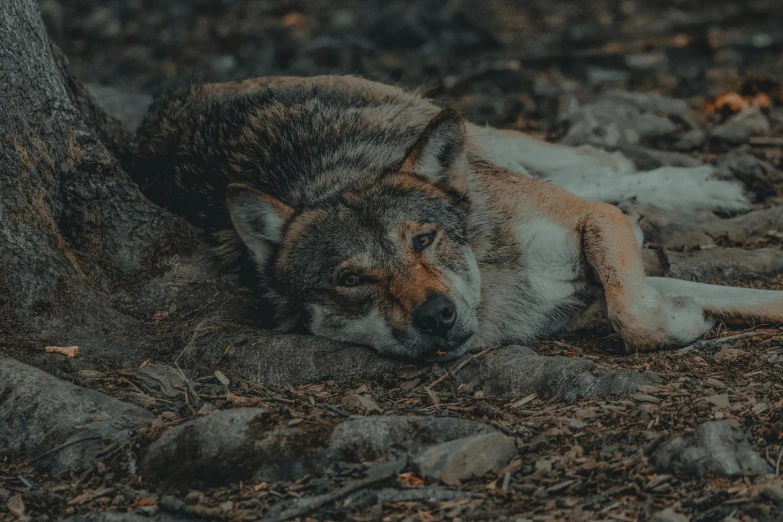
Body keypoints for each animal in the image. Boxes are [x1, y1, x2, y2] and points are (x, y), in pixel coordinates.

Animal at [135, 75, 783, 360]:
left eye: (423, 239)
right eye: (351, 279)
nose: (436, 315)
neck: (499, 279)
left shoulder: (593, 222)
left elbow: (633, 310)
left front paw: (679, 317)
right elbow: (653, 310)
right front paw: (686, 314)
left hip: (478, 134)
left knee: (595, 164)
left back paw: (698, 186)